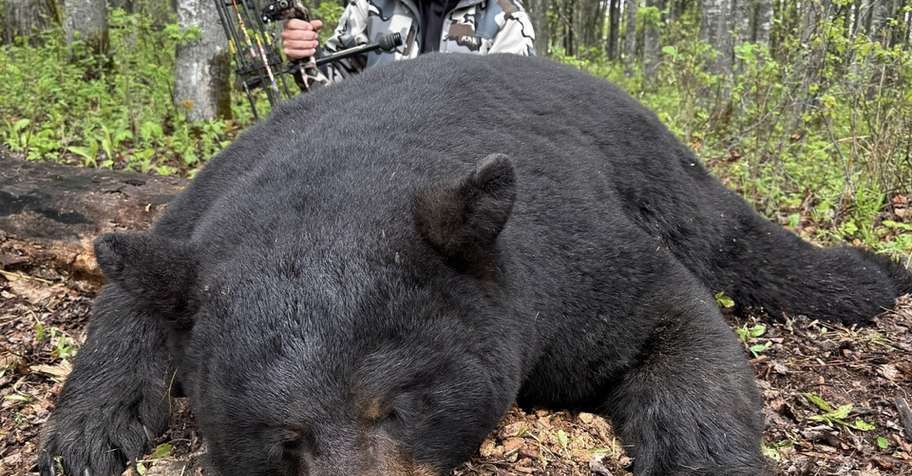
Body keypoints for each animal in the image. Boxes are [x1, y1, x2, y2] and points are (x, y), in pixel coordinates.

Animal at [38, 53, 911, 476]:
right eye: (284, 437)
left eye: (395, 405)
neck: (349, 171)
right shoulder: (199, 214)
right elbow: (126, 291)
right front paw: (86, 431)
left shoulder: (564, 263)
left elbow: (672, 318)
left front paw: (705, 456)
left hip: (661, 169)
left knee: (735, 240)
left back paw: (870, 272)